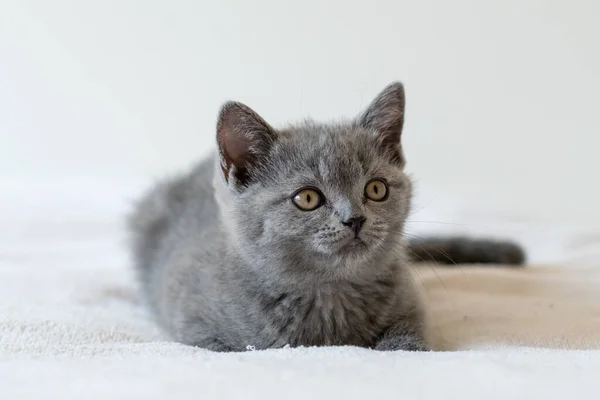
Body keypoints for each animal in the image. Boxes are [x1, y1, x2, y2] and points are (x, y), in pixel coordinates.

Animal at [127, 83, 524, 352]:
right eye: (307, 198)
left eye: (376, 189)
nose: (355, 219)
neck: (329, 296)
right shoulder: (197, 329)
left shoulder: (411, 306)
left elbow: (407, 337)